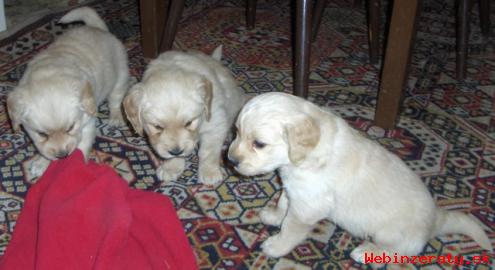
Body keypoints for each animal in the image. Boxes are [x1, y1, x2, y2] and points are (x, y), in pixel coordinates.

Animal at [6, 7, 130, 179]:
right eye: (42, 134)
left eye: (70, 128)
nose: (62, 155)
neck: (50, 74)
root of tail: (97, 28)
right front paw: (42, 163)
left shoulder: (87, 123)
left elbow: (81, 148)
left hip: (120, 74)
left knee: (116, 99)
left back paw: (116, 117)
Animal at [124, 47, 246, 186]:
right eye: (158, 127)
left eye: (189, 123)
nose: (176, 151)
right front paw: (171, 167)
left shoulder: (215, 122)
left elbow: (209, 151)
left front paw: (210, 172)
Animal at [229, 92, 492, 262]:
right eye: (236, 131)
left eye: (259, 144)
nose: (230, 160)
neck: (302, 159)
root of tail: (437, 218)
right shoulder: (295, 190)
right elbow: (283, 202)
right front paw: (273, 216)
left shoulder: (308, 206)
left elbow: (291, 227)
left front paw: (276, 245)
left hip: (388, 234)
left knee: (402, 252)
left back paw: (366, 252)